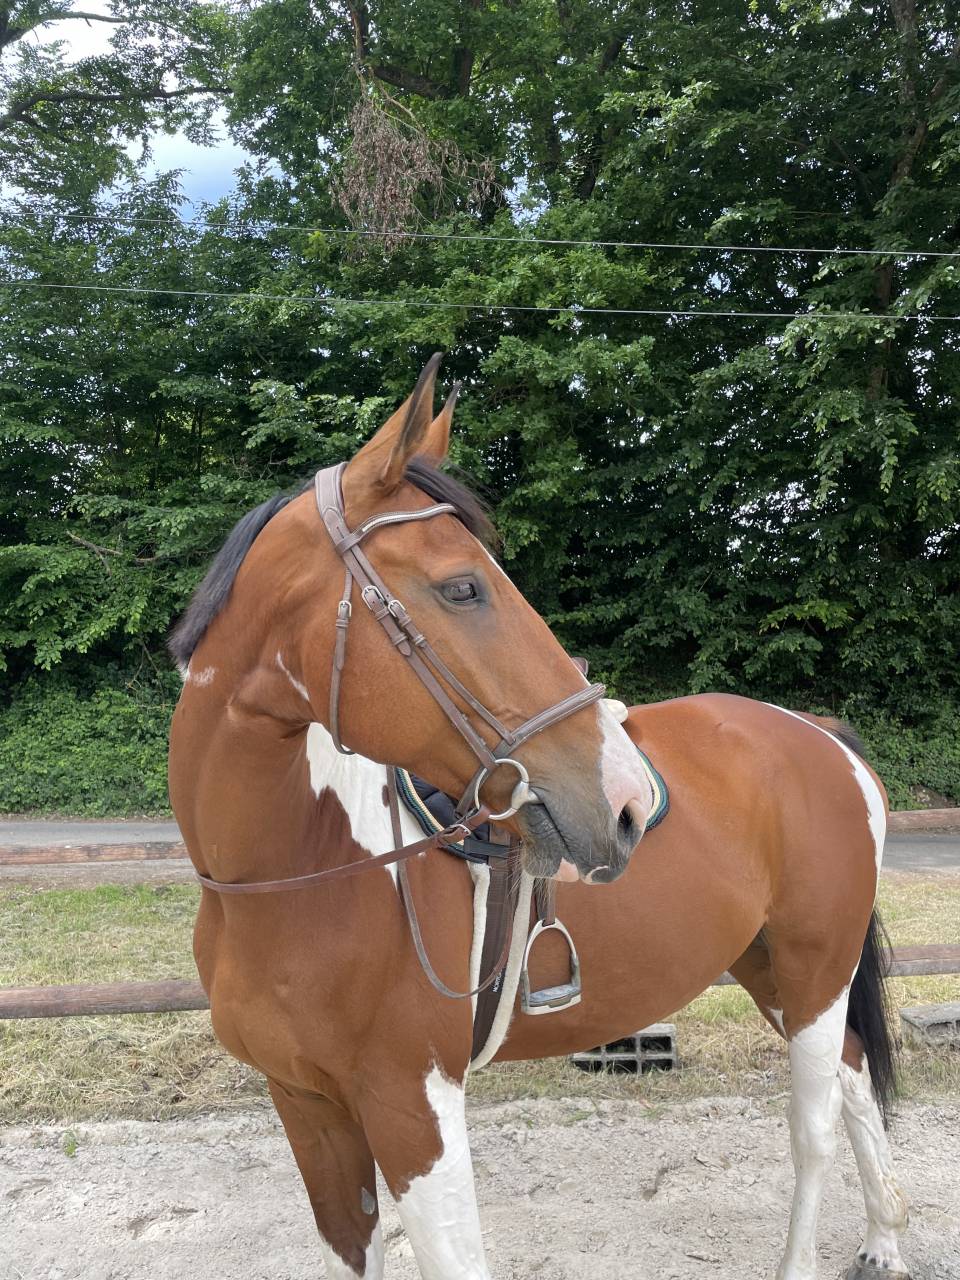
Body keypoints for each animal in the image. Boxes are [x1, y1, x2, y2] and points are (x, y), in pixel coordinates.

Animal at [168, 357, 909, 1280]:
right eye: (463, 587)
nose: (627, 801)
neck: (288, 875)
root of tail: (819, 733)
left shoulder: (413, 1107)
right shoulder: (306, 1104)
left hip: (816, 970)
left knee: (813, 1131)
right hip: (772, 968)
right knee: (853, 1080)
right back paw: (884, 1238)